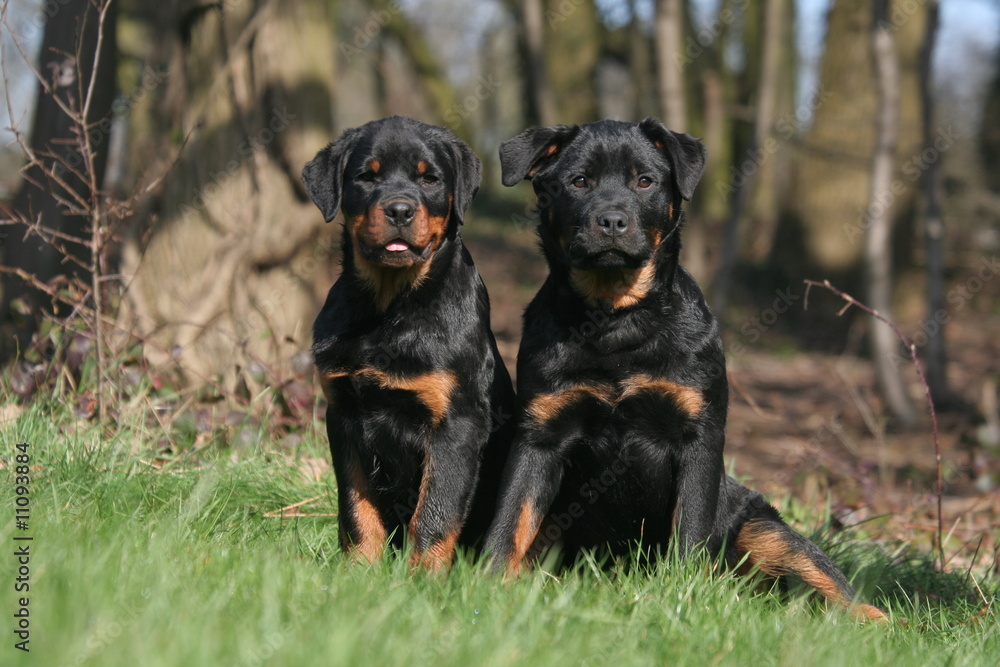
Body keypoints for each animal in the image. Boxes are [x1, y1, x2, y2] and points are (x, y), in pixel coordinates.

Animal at [300, 117, 512, 572]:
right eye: (367, 176)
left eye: (429, 178)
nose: (399, 209)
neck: (390, 304)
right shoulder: (343, 415)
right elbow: (356, 508)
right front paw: (358, 570)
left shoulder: (457, 424)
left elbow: (435, 510)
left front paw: (422, 578)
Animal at [482, 118, 884, 620]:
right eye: (579, 181)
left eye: (644, 181)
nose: (612, 220)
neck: (616, 318)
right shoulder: (541, 432)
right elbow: (511, 516)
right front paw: (484, 583)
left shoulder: (697, 434)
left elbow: (689, 529)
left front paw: (679, 594)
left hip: (764, 528)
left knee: (830, 582)